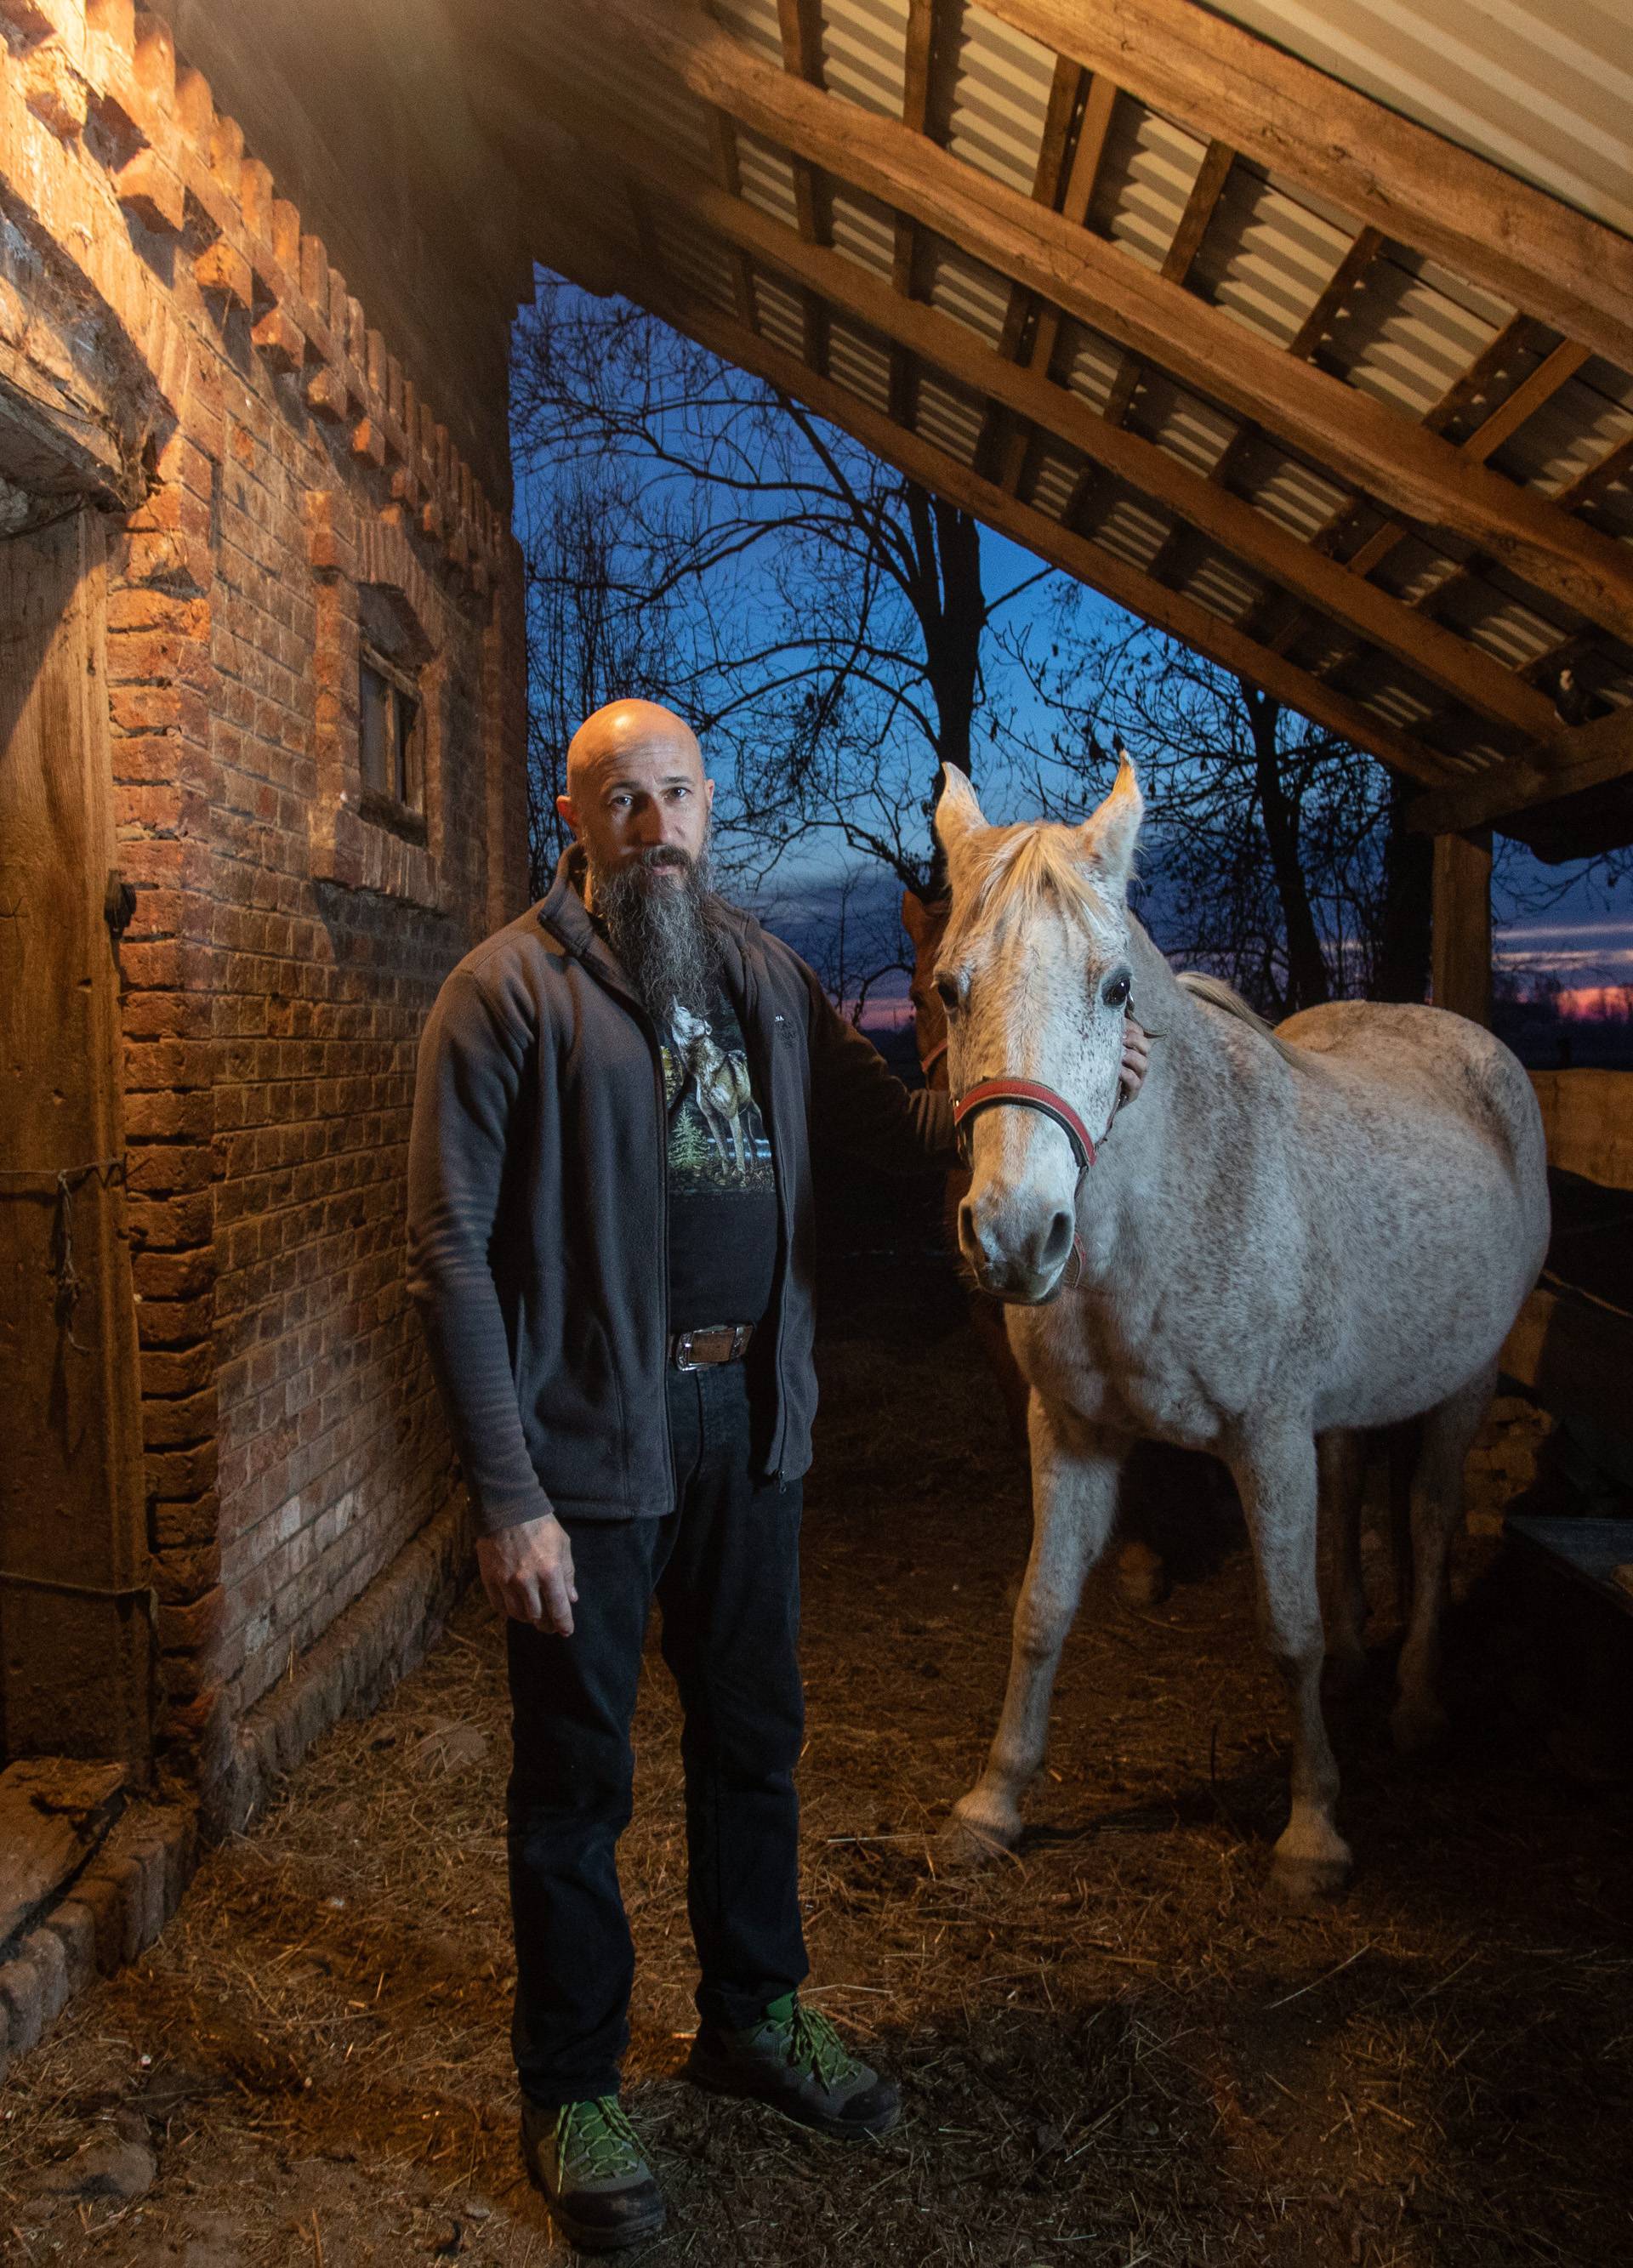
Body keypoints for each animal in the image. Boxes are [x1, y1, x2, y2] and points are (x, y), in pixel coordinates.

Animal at [939, 762, 1551, 1896]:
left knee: (1432, 1521)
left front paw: (1314, 1831)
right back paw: (1361, 1664)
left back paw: (1414, 1703)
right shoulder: (1073, 1432)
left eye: (1116, 989)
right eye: (950, 989)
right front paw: (993, 1805)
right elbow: (1041, 1610)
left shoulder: (1265, 1441)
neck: (1164, 1214)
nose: (1016, 1234)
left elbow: (1286, 1628)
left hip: (1468, 1381)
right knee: (1352, 1487)